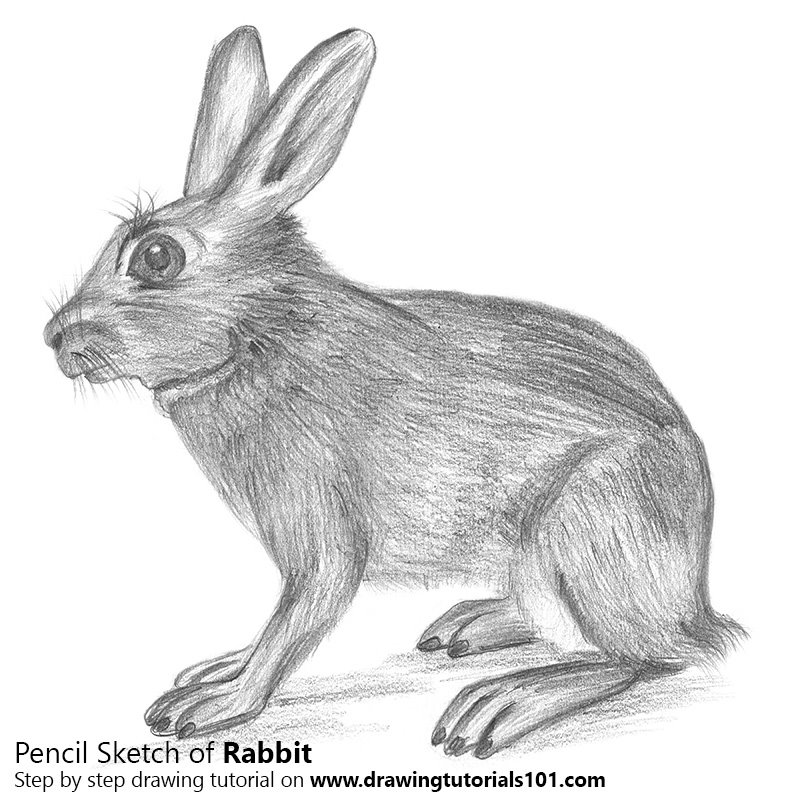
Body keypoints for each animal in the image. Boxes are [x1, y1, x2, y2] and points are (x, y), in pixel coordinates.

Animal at [44, 25, 744, 757]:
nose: (54, 338)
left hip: (586, 530)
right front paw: (216, 669)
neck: (258, 334)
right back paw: (469, 625)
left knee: (641, 658)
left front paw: (217, 703)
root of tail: (697, 604)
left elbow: (296, 622)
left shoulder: (320, 529)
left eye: (157, 257)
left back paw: (500, 703)